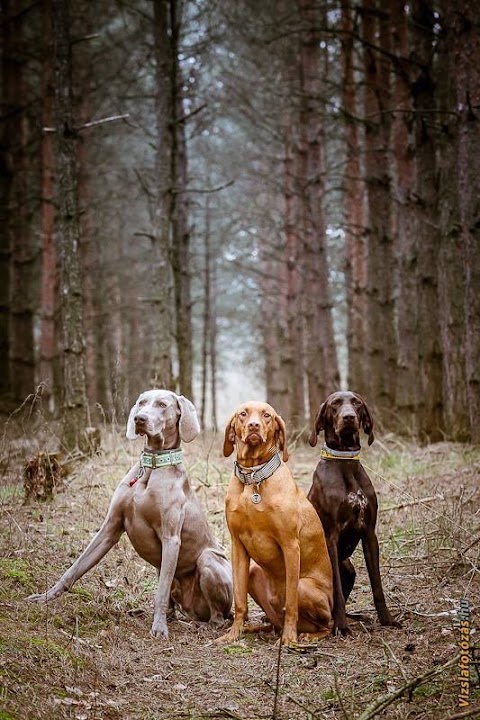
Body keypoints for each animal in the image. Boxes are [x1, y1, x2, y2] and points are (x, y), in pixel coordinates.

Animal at [218, 400, 334, 648]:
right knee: (273, 622)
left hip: (306, 589)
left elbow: (290, 604)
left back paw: (304, 635)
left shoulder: (290, 545)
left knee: (325, 625)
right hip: (254, 573)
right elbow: (239, 600)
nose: (253, 426)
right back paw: (257, 628)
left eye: (267, 416)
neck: (253, 478)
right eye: (243, 414)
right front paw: (233, 634)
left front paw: (289, 639)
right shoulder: (237, 546)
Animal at [310, 394, 400, 636]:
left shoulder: (369, 534)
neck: (345, 463)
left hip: (349, 569)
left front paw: (387, 619)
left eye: (356, 402)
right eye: (334, 404)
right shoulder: (330, 537)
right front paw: (342, 626)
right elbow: (337, 592)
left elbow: (377, 585)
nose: (349, 417)